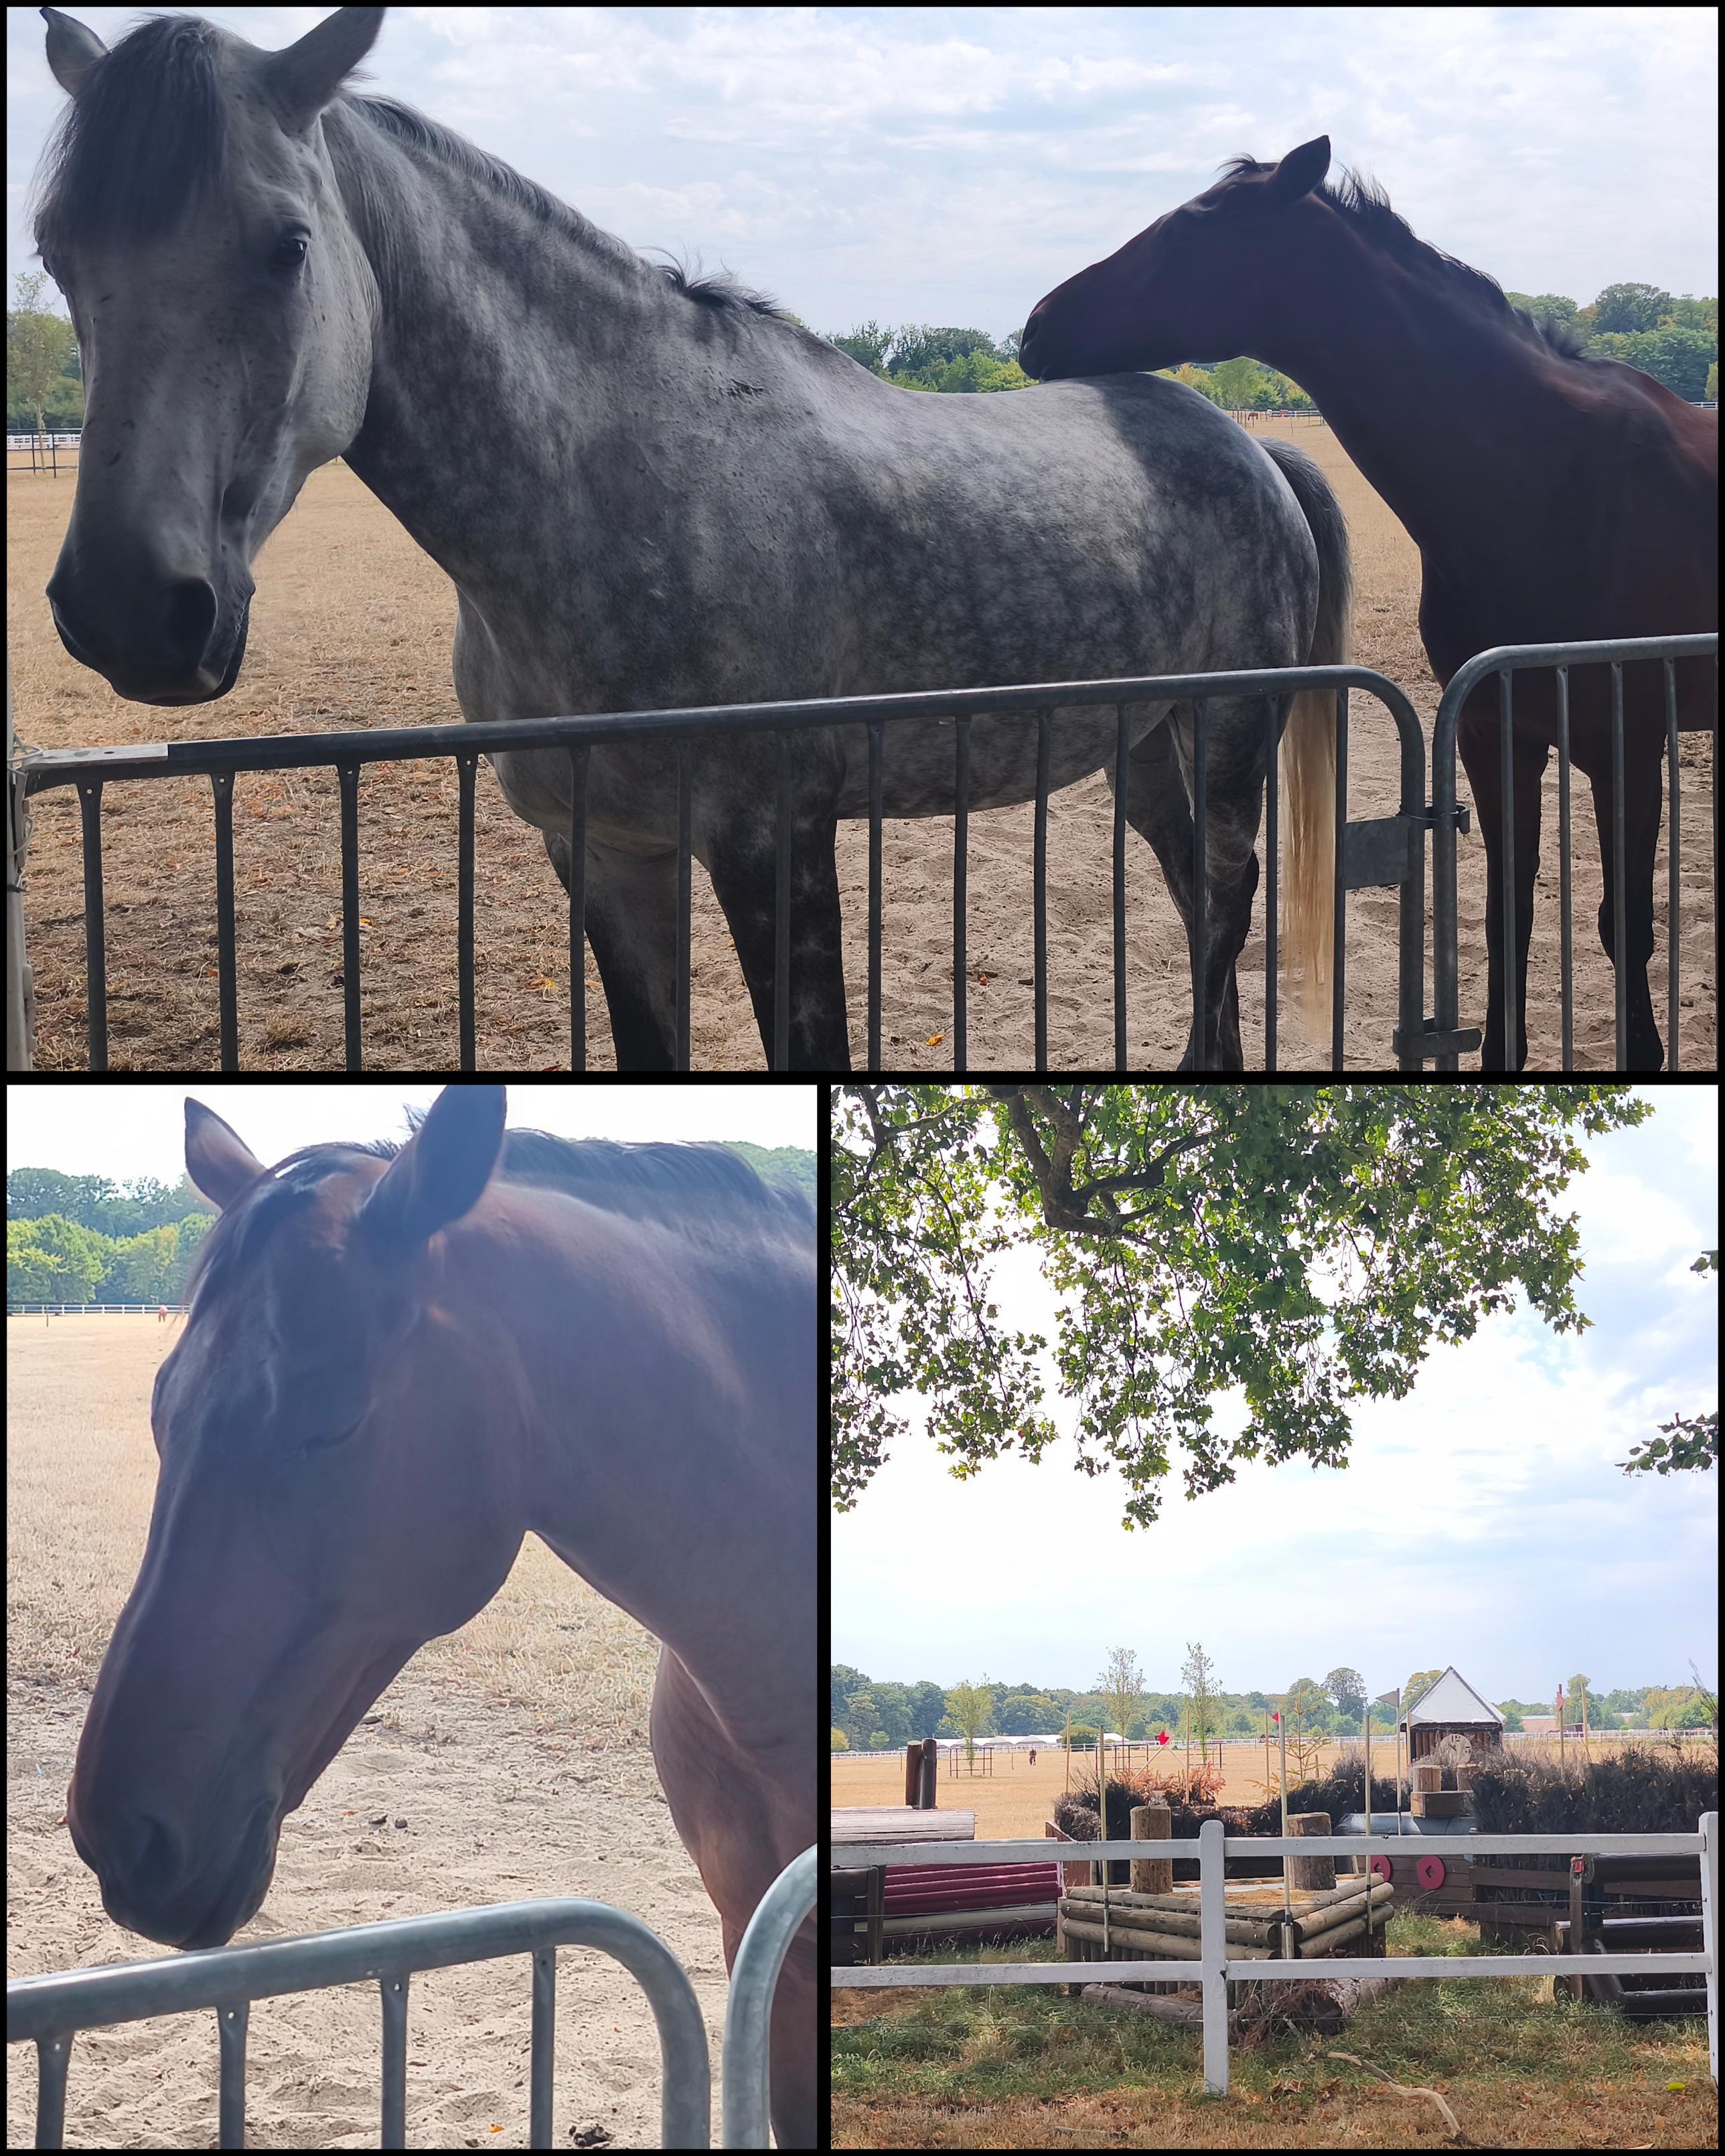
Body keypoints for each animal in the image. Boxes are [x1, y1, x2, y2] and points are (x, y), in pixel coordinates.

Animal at [35, 7, 1351, 1074]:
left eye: (288, 245)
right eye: (55, 251)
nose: (131, 611)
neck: (623, 490)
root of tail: (1253, 448)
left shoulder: (776, 846)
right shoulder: (609, 853)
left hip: (1232, 734)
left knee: (1226, 908)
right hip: (1146, 747)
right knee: (1194, 901)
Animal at [1019, 135, 1718, 1071]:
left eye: (1193, 225)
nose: (1035, 327)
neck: (1547, 473)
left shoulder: (1627, 746)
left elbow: (1625, 926)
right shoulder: (1494, 733)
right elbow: (1504, 916)